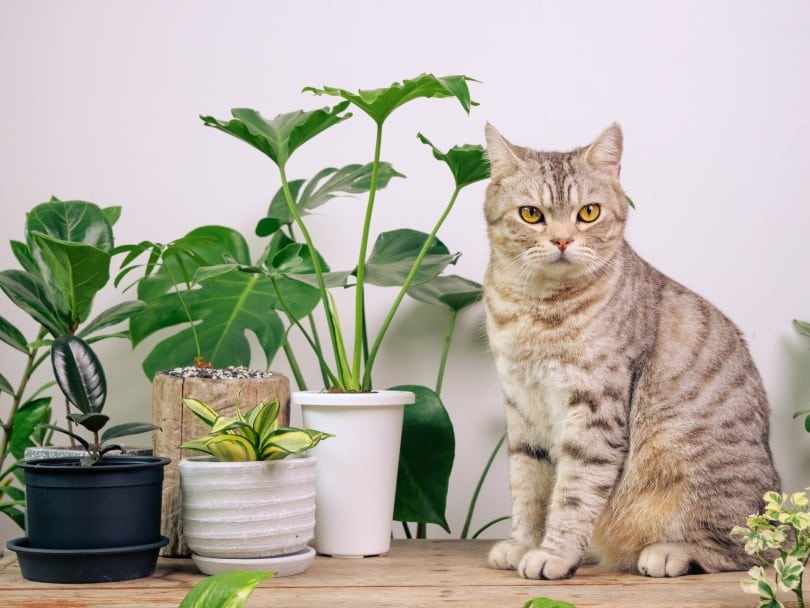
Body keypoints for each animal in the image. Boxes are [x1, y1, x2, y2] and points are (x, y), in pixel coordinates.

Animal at [482, 122, 780, 580]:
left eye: (589, 212)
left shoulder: (595, 406)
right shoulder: (522, 406)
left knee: (747, 550)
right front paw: (524, 543)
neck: (537, 307)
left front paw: (554, 553)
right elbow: (528, 485)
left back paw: (669, 552)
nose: (563, 239)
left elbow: (573, 491)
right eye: (531, 214)